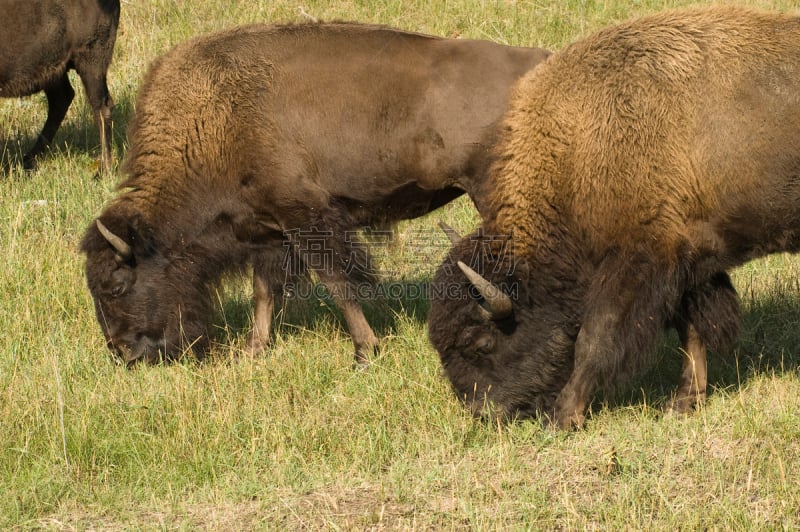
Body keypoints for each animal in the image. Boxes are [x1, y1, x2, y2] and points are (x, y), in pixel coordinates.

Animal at [0, 0, 119, 174]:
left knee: (101, 107)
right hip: (53, 70)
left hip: (91, 61)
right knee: (62, 99)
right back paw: (28, 159)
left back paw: (104, 170)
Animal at [81, 22, 552, 368]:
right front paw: (253, 350)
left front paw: (364, 352)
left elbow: (337, 282)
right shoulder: (268, 228)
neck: (215, 120)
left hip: (492, 192)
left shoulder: (306, 220)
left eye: (116, 284)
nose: (122, 352)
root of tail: (543, 64)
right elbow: (264, 289)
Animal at [428, 6, 800, 430]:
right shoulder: (686, 262)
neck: (576, 148)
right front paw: (683, 402)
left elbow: (595, 337)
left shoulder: (638, 261)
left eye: (481, 341)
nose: (483, 412)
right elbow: (691, 329)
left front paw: (563, 416)